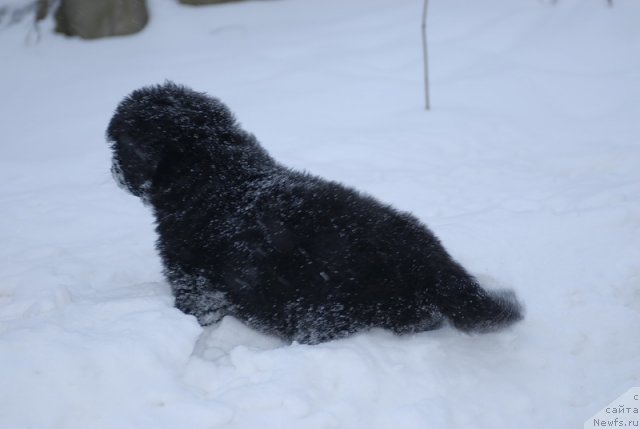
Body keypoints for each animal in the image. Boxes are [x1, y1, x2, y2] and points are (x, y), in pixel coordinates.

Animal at [106, 83, 524, 344]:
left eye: (119, 144)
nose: (112, 172)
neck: (214, 169)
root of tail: (432, 263)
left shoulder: (191, 275)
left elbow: (196, 305)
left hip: (323, 310)